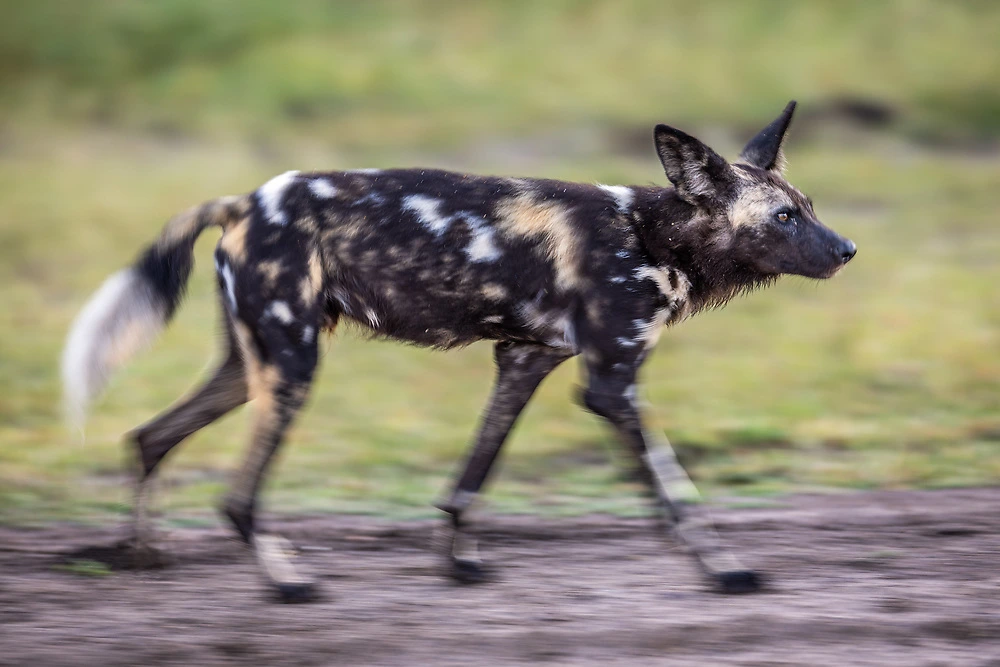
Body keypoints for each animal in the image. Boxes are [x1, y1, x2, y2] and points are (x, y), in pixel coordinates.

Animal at [66, 102, 856, 604]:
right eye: (784, 217)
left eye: (811, 207)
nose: (849, 249)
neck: (653, 234)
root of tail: (244, 201)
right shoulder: (613, 386)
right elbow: (678, 498)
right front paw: (725, 573)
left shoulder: (525, 363)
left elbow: (470, 479)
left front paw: (459, 561)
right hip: (290, 371)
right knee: (236, 496)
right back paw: (286, 582)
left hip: (248, 368)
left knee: (149, 437)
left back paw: (141, 556)